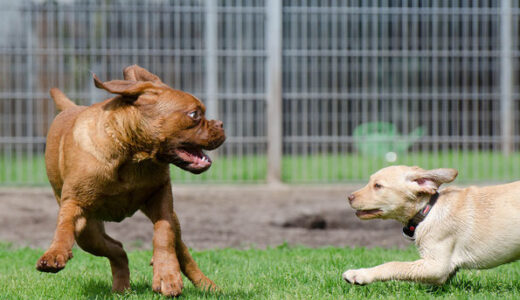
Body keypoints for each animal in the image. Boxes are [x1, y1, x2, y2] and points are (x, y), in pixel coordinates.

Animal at [35, 64, 225, 296]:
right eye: (194, 114)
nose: (221, 124)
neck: (132, 155)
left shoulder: (162, 199)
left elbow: (163, 235)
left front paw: (166, 275)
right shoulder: (74, 204)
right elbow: (63, 228)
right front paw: (55, 253)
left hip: (172, 221)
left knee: (180, 250)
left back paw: (206, 285)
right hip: (88, 233)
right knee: (116, 248)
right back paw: (121, 287)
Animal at [342, 166, 520, 286]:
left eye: (378, 186)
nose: (349, 197)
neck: (428, 210)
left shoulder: (437, 266)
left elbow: (394, 265)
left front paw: (359, 274)